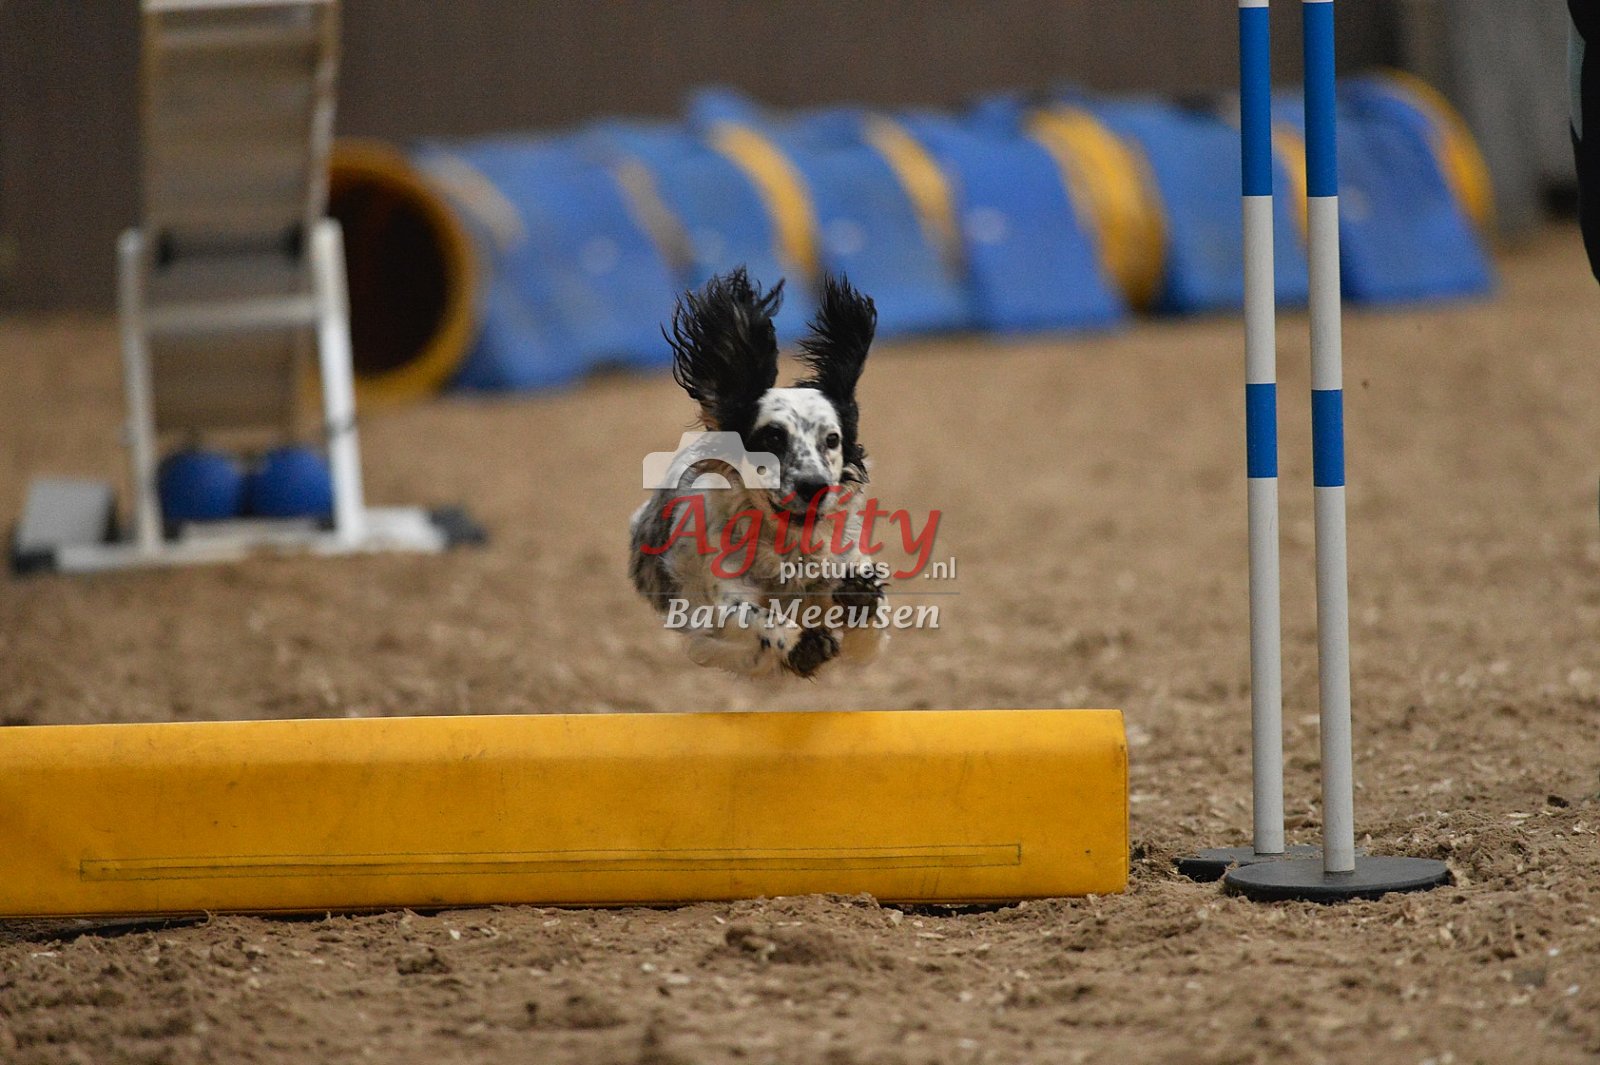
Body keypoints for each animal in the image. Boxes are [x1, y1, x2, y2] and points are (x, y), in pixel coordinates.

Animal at [629, 269, 889, 678]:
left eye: (832, 439)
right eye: (773, 436)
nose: (814, 487)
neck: (786, 547)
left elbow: (869, 628)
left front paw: (857, 597)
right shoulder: (720, 598)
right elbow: (753, 618)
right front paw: (802, 645)